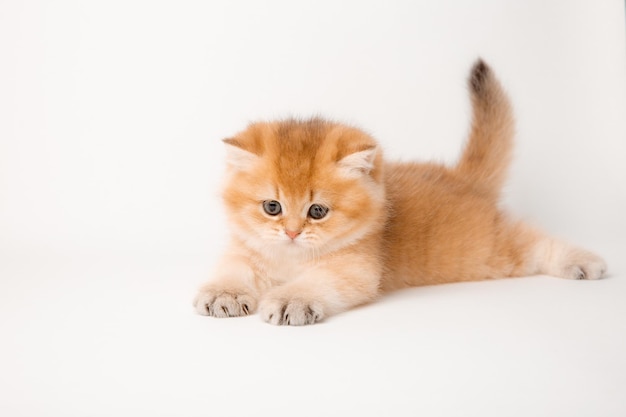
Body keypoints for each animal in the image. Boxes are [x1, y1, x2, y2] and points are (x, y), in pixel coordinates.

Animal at [193, 58, 604, 324]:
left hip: (493, 251)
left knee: (536, 242)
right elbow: (230, 272)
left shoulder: (354, 270)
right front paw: (224, 295)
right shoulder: (243, 253)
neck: (288, 260)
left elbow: (314, 283)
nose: (292, 233)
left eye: (317, 211)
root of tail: (460, 177)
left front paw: (290, 300)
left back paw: (584, 262)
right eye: (272, 207)